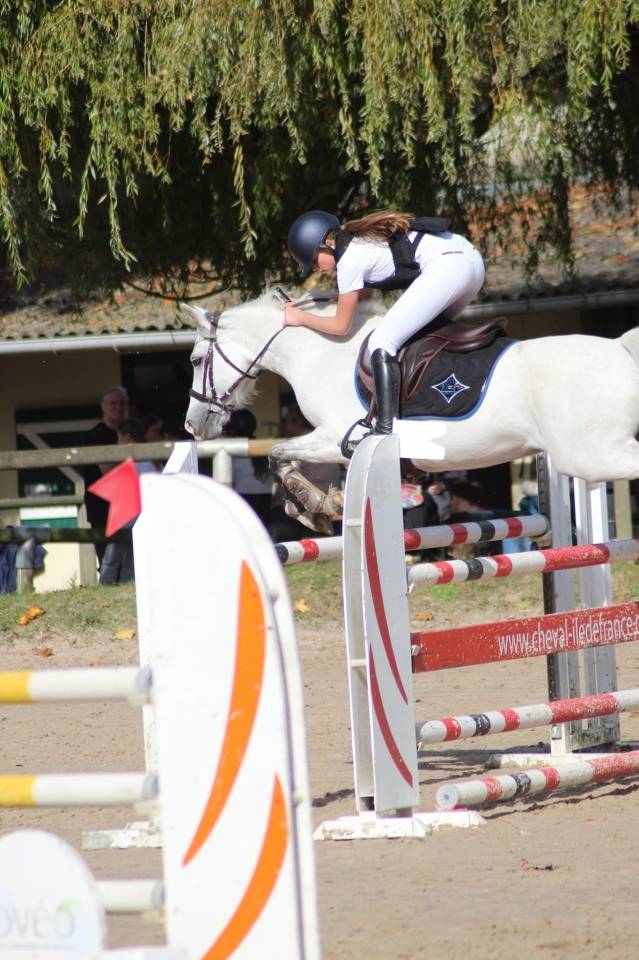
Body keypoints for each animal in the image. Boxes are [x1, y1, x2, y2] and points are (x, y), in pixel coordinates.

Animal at [182, 290, 639, 531]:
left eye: (194, 360)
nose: (192, 425)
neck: (322, 350)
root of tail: (621, 348)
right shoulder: (330, 444)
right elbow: (295, 465)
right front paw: (319, 506)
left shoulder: (336, 438)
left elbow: (279, 456)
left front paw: (316, 506)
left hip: (589, 454)